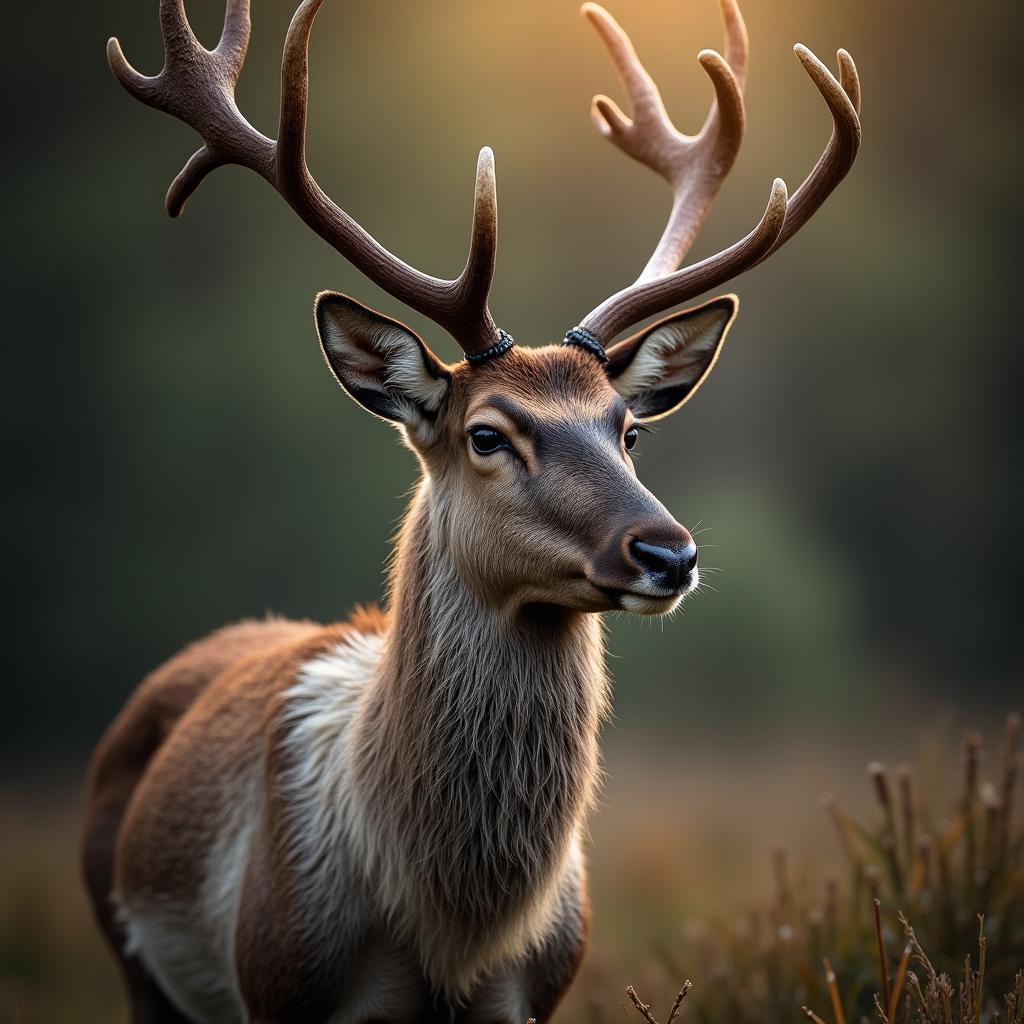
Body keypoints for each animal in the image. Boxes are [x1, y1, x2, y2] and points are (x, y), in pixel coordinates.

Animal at [81, 0, 861, 1021]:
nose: (669, 552)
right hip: (135, 957)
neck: (450, 934)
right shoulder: (280, 983)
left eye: (629, 430)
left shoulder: (532, 994)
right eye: (487, 434)